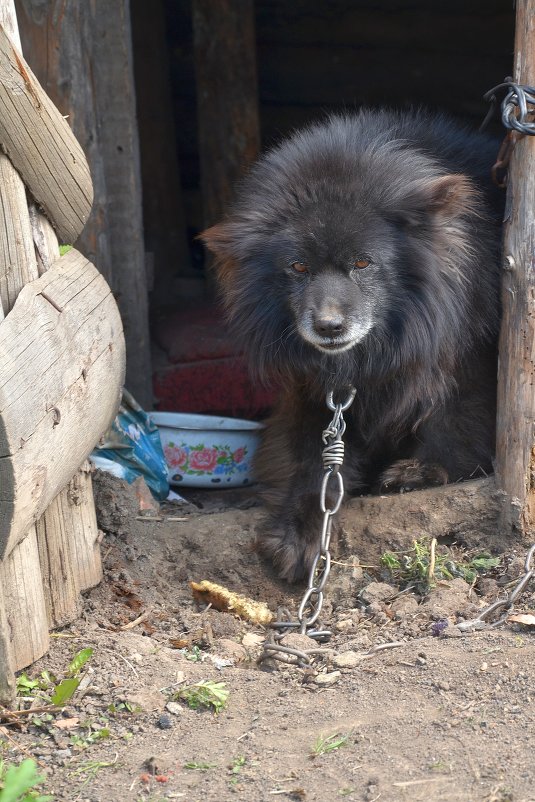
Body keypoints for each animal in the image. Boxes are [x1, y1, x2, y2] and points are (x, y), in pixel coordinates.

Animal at [201, 108, 502, 580]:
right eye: (298, 267)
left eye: (362, 262)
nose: (328, 327)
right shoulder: (315, 394)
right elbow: (317, 464)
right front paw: (301, 534)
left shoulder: (466, 352)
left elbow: (458, 419)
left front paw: (423, 470)